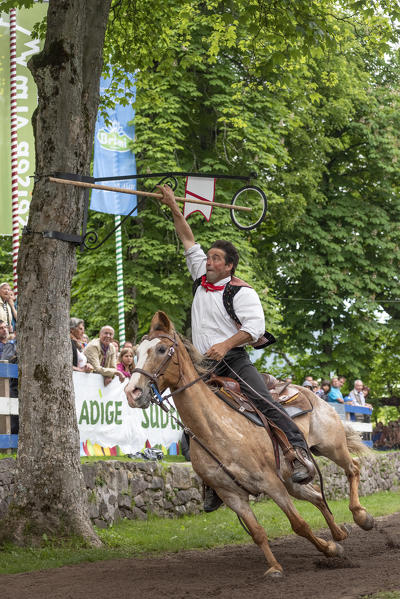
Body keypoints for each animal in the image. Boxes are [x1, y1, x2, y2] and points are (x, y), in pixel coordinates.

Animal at [123, 312, 374, 580]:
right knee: (317, 495)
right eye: (136, 352)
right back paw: (339, 533)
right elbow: (257, 533)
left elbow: (299, 525)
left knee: (353, 468)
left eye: (161, 349)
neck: (216, 428)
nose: (132, 392)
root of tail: (311, 393)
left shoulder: (271, 483)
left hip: (331, 446)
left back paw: (361, 516)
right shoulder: (232, 495)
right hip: (292, 480)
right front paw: (277, 567)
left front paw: (329, 549)